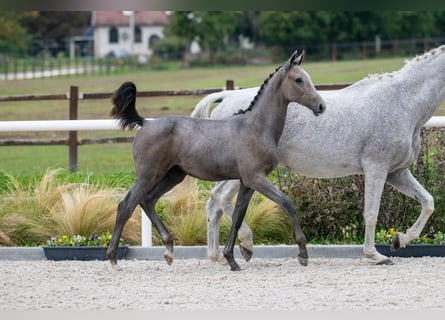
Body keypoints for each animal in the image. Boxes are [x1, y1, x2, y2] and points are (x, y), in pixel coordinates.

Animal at [191, 44, 444, 264]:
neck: (401, 102)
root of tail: (226, 98)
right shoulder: (376, 169)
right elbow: (371, 213)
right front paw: (375, 255)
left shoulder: (396, 173)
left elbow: (428, 203)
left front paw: (399, 240)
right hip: (245, 173)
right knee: (221, 199)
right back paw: (245, 244)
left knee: (214, 204)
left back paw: (216, 256)